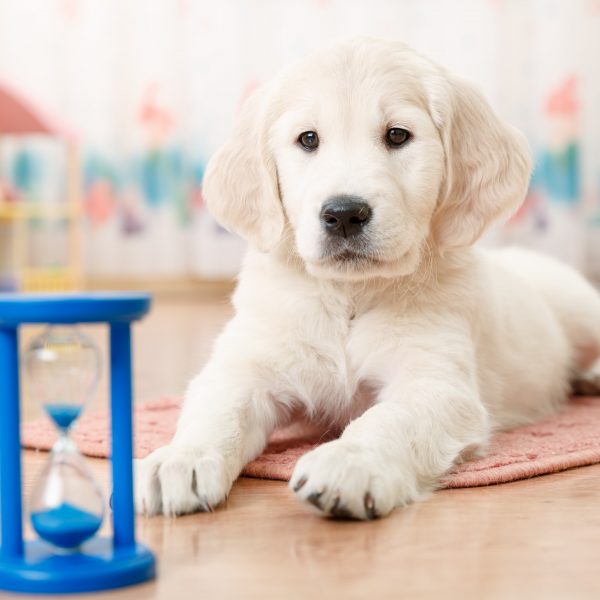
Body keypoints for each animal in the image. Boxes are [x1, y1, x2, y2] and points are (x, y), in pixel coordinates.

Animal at [135, 37, 600, 516]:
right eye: (308, 139)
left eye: (397, 135)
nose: (343, 214)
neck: (349, 297)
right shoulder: (249, 363)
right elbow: (217, 408)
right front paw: (180, 459)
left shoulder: (435, 381)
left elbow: (389, 418)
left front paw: (349, 462)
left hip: (582, 307)